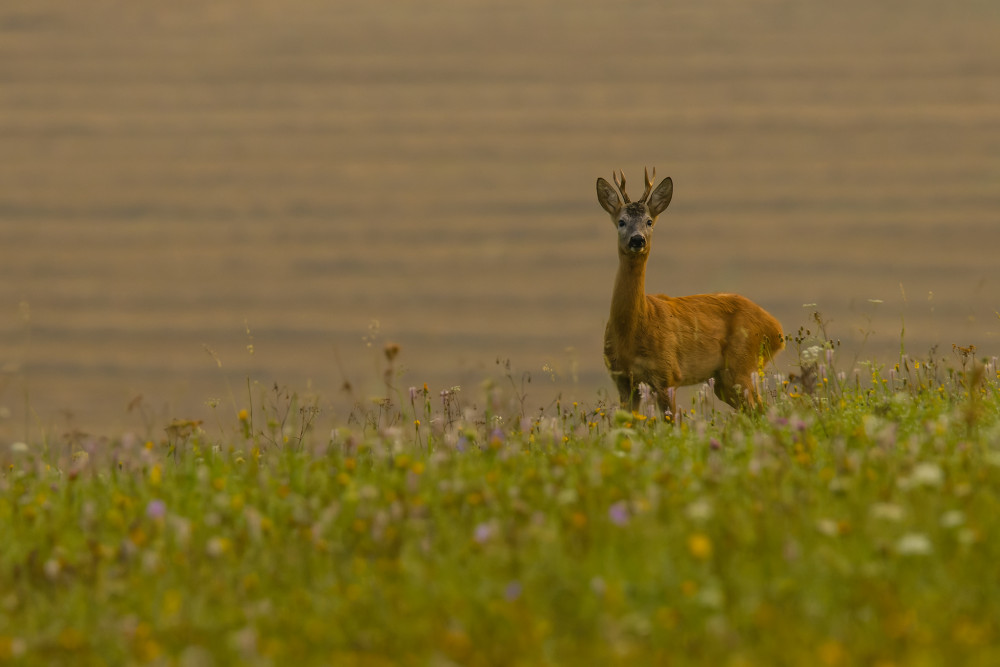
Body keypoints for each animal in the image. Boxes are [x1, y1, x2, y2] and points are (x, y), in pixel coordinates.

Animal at [596, 167, 784, 414]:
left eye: (649, 221)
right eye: (621, 221)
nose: (637, 240)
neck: (632, 331)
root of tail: (777, 329)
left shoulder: (667, 374)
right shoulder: (623, 380)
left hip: (742, 366)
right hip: (725, 381)